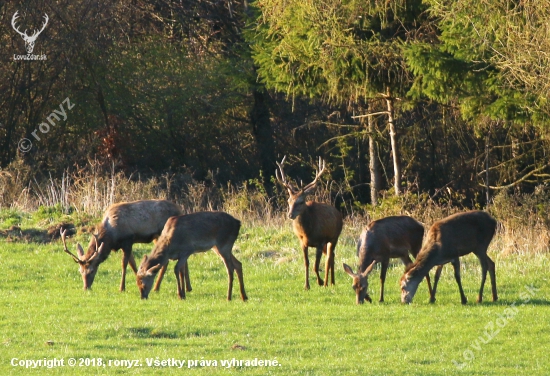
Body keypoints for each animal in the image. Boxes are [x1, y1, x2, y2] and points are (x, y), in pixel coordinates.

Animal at [62, 200, 191, 290]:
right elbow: (132, 263)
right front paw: (139, 280)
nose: (86, 287)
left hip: (163, 234)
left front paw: (122, 288)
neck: (111, 236)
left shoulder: (128, 240)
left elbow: (124, 264)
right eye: (80, 271)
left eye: (92, 270)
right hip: (158, 236)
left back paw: (157, 287)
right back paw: (188, 287)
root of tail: (180, 210)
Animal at [276, 156, 344, 290]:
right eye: (289, 200)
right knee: (331, 256)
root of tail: (338, 213)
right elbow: (306, 263)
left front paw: (320, 282)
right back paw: (332, 282)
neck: (307, 232)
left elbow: (316, 266)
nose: (290, 215)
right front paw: (306, 285)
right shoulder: (302, 242)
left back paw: (327, 283)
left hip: (334, 237)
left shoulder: (320, 241)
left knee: (329, 258)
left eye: (301, 202)